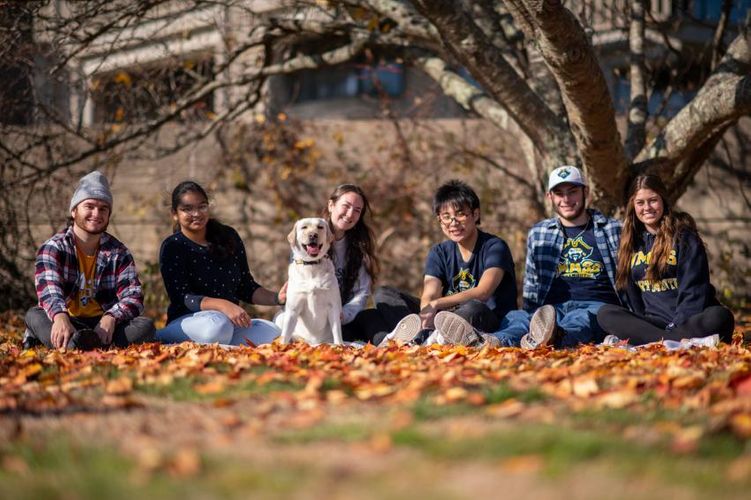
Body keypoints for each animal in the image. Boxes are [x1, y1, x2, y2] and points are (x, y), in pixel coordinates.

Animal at [280, 219, 344, 348]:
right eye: (304, 227)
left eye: (320, 227)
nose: (313, 235)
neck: (311, 265)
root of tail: (313, 345)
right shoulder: (293, 308)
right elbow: (285, 334)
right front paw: (280, 347)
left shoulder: (333, 305)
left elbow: (336, 330)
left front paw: (340, 346)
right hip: (282, 318)